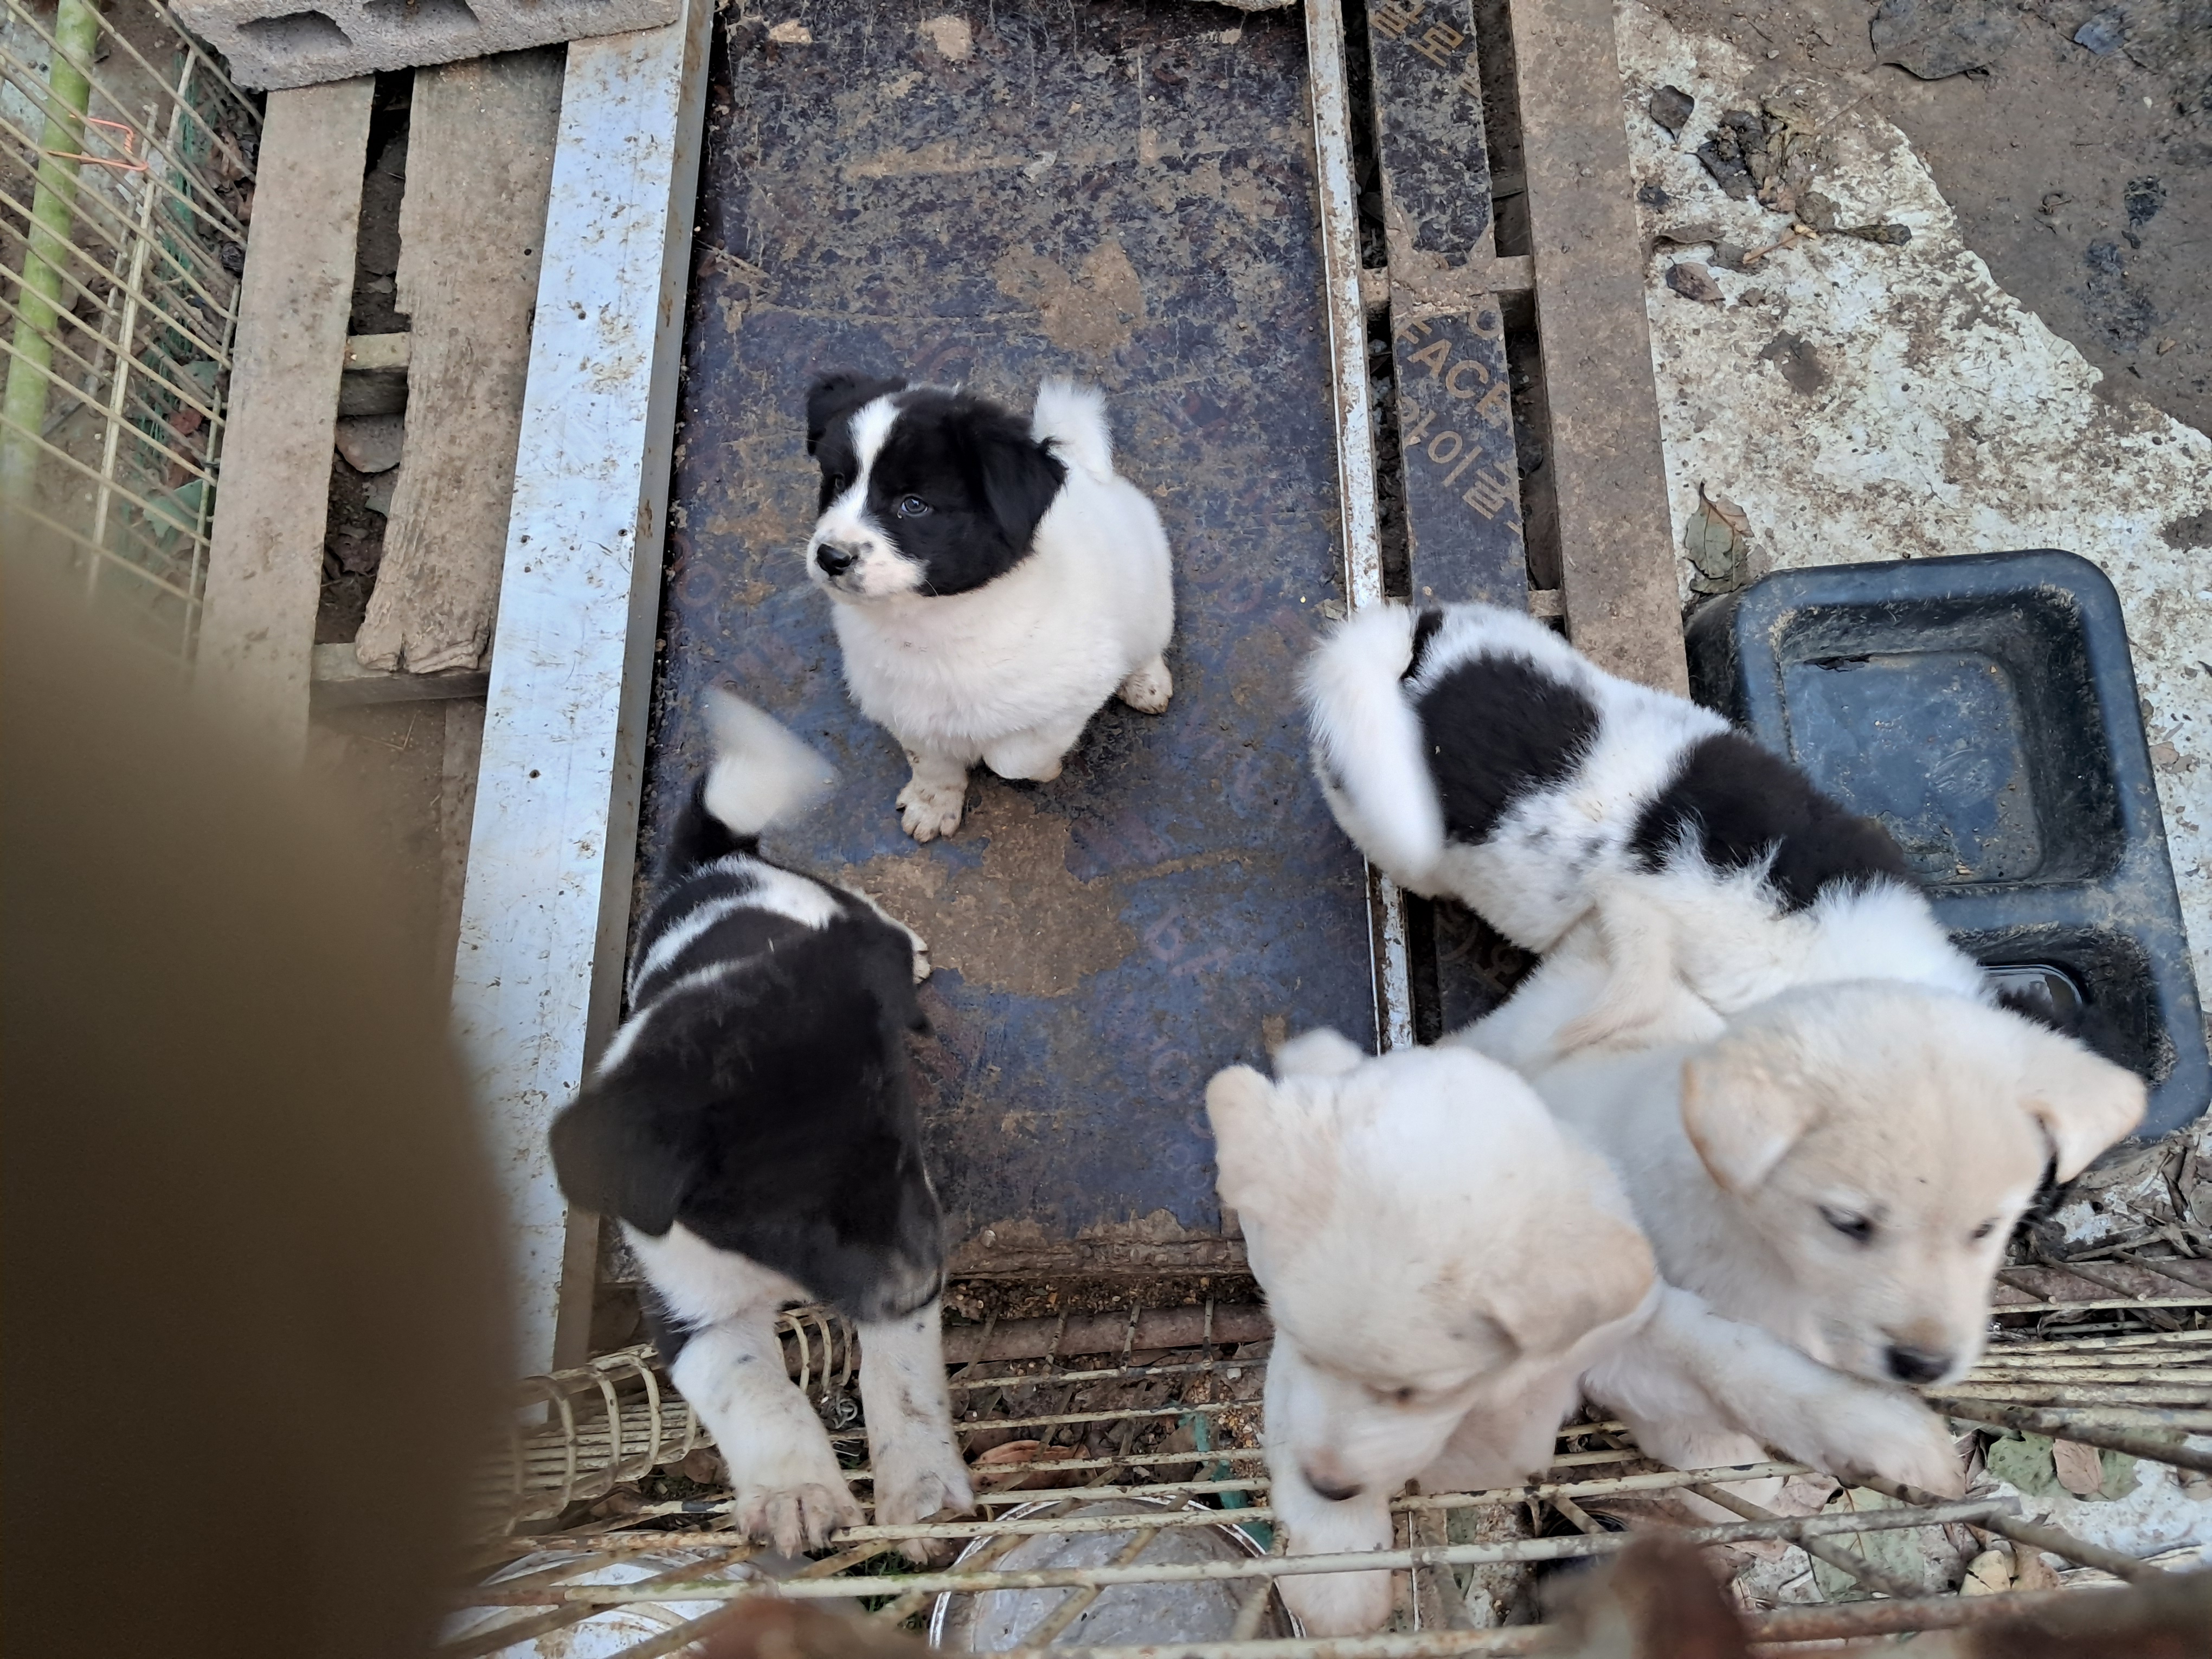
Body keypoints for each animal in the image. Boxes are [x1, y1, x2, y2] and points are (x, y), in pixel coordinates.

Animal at [548, 693, 972, 1556]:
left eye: (903, 1156)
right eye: (779, 1220)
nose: (924, 1285)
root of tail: (711, 865)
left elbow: (901, 1377)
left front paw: (920, 1490)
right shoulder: (689, 1307)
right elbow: (751, 1390)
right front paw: (794, 1494)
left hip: (831, 902)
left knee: (870, 917)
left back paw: (906, 949)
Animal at [803, 373, 1175, 841]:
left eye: (914, 504)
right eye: (837, 482)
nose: (830, 557)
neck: (931, 622)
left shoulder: (1074, 698)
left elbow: (1012, 759)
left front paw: (1046, 769)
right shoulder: (903, 706)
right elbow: (927, 758)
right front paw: (932, 803)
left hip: (1150, 593)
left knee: (1148, 641)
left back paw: (1146, 682)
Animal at [1208, 1031, 1967, 1636]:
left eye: (1418, 1391)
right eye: (1296, 1341)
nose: (1330, 1485)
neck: (1502, 1387)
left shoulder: (1630, 1335)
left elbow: (1742, 1361)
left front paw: (1879, 1430)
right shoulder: (1292, 1377)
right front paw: (1336, 1572)